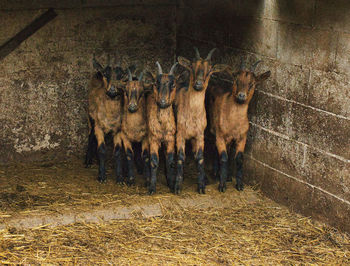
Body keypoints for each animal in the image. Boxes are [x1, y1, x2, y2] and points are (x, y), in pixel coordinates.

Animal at [86, 54, 124, 183]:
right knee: (90, 136)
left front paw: (120, 178)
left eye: (122, 75)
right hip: (90, 119)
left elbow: (118, 151)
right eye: (105, 74)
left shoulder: (118, 129)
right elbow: (102, 150)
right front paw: (101, 176)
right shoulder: (98, 126)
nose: (112, 90)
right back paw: (87, 161)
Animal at [175, 47, 230, 193]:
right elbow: (180, 157)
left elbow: (199, 157)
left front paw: (201, 186)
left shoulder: (199, 135)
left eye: (210, 70)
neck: (192, 113)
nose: (198, 84)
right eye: (192, 66)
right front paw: (177, 186)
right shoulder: (180, 133)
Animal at [209, 58, 270, 191]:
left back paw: (227, 176)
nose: (241, 96)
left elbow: (239, 158)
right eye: (236, 80)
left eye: (252, 84)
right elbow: (224, 157)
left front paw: (239, 184)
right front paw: (222, 185)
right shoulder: (220, 136)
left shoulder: (242, 137)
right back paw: (216, 172)